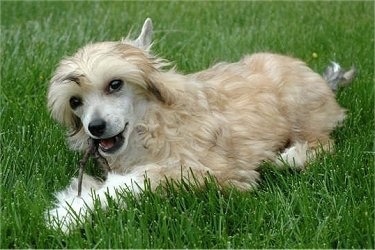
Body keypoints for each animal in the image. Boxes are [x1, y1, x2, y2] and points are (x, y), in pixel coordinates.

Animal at [44, 18, 356, 232]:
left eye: (115, 84)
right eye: (75, 102)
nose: (95, 127)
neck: (152, 122)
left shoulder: (211, 172)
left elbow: (142, 179)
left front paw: (69, 214)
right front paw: (75, 203)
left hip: (301, 114)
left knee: (324, 143)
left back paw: (290, 157)